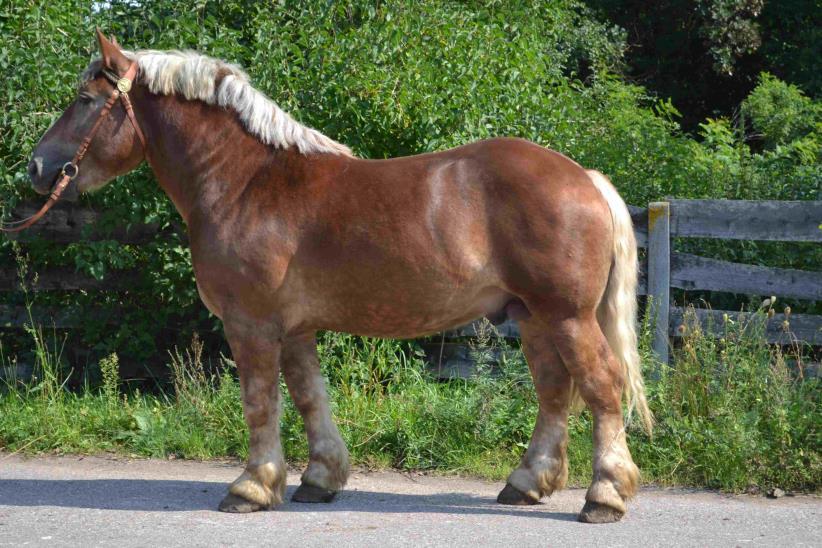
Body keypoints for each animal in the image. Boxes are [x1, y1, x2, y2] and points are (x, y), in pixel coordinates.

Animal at [25, 28, 652, 524]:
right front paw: (318, 479)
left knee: (601, 386)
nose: (35, 166)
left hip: (566, 316)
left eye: (84, 99)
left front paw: (251, 487)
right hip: (533, 317)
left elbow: (260, 403)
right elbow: (308, 398)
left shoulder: (251, 323)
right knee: (554, 391)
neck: (246, 182)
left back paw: (603, 496)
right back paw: (526, 483)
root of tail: (586, 177)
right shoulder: (296, 328)